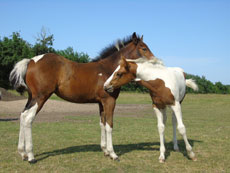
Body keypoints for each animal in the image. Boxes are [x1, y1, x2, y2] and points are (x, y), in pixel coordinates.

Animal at [9, 32, 155, 164]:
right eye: (143, 48)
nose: (154, 61)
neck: (108, 69)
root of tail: (31, 61)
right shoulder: (109, 101)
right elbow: (109, 125)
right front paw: (113, 154)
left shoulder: (101, 103)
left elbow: (102, 123)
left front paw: (105, 151)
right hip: (40, 97)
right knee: (28, 118)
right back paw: (31, 156)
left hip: (31, 98)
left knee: (22, 115)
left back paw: (22, 153)